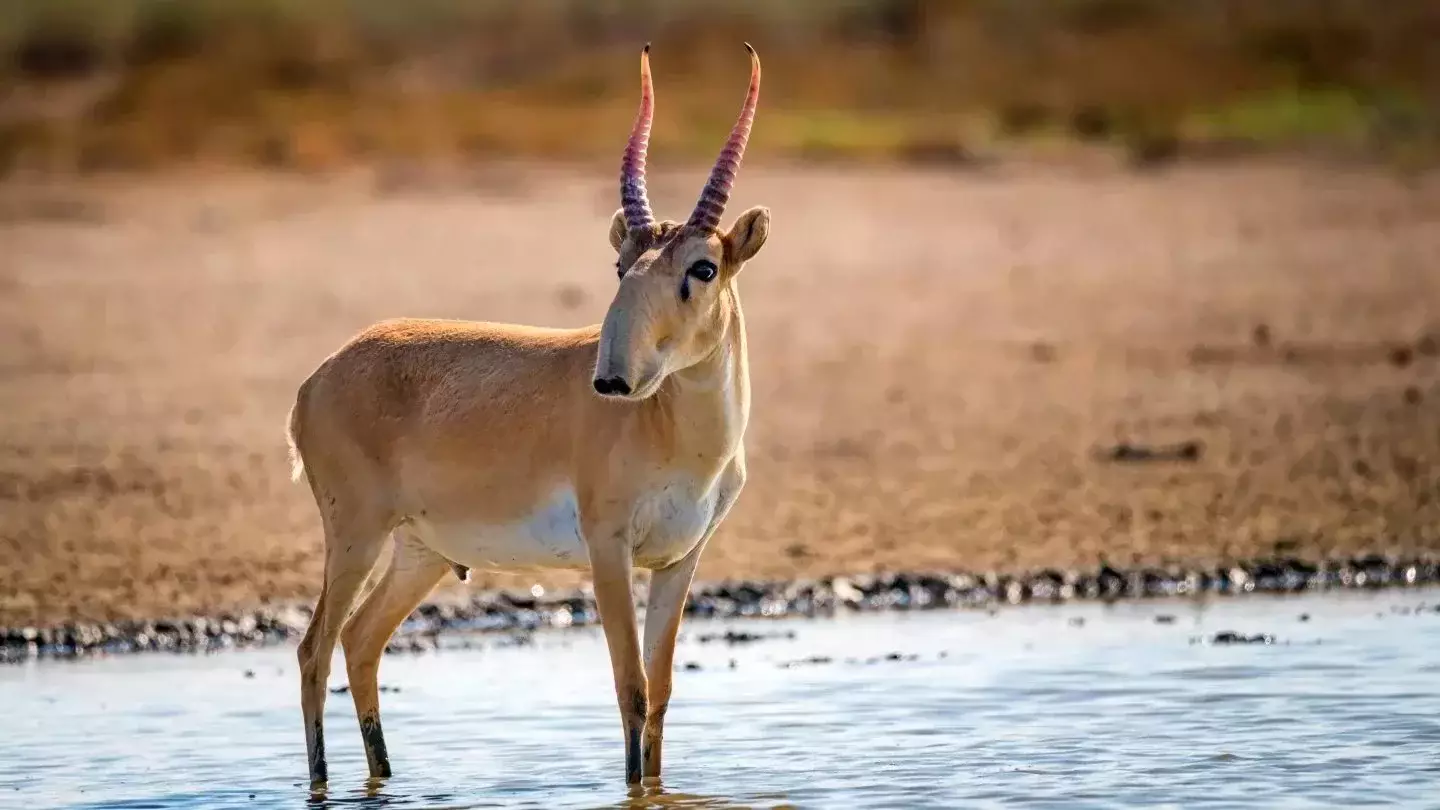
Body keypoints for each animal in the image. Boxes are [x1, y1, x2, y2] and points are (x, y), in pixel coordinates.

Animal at [285, 45, 771, 789]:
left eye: (704, 267)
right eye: (621, 263)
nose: (612, 378)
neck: (676, 435)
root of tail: (318, 378)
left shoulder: (680, 558)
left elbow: (660, 692)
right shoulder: (608, 549)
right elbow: (630, 687)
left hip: (420, 552)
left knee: (361, 641)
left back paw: (385, 776)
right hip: (355, 537)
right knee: (314, 649)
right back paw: (323, 783)